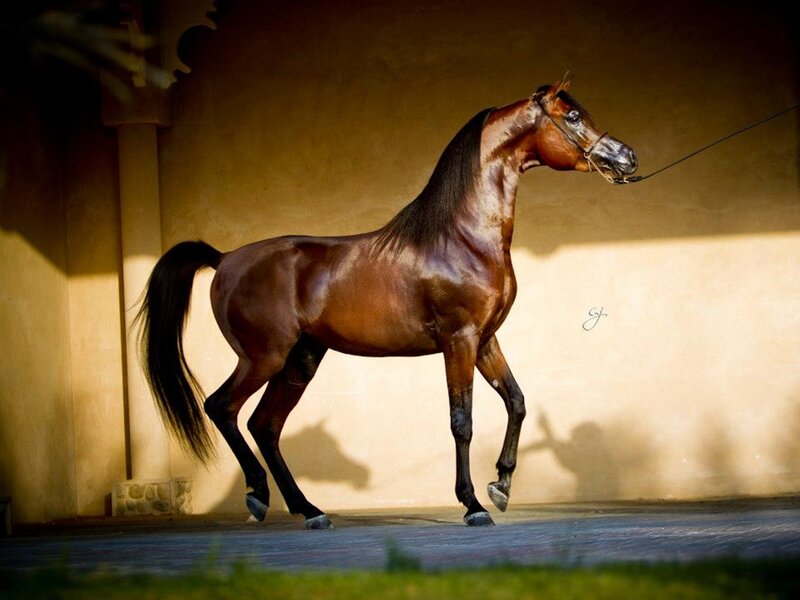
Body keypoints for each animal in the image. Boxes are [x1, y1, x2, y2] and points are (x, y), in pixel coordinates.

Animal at [136, 73, 637, 529]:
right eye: (572, 116)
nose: (626, 157)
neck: (462, 237)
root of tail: (224, 260)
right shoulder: (459, 340)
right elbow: (462, 420)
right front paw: (473, 505)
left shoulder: (486, 340)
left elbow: (516, 401)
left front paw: (501, 485)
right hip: (263, 357)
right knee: (223, 408)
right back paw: (259, 495)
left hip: (301, 360)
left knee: (265, 424)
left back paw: (310, 510)